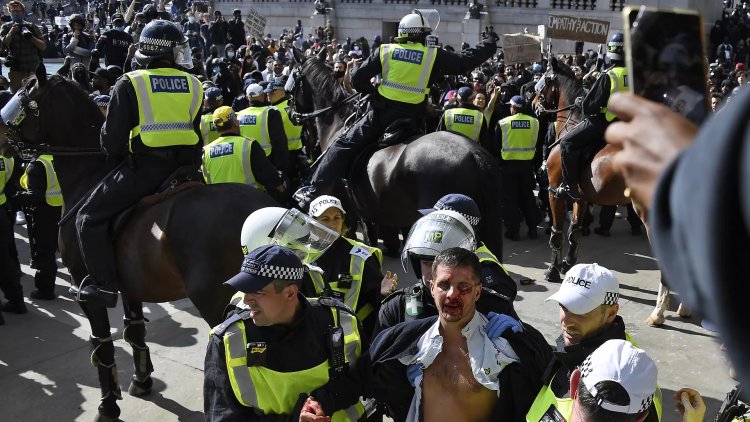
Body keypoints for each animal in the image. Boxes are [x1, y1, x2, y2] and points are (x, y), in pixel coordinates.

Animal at [2, 70, 280, 422]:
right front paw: (142, 380)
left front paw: (108, 405)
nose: (1, 138)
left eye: (20, 99)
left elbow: (102, 343)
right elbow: (135, 331)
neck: (90, 175)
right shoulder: (130, 284)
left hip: (219, 301)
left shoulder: (86, 288)